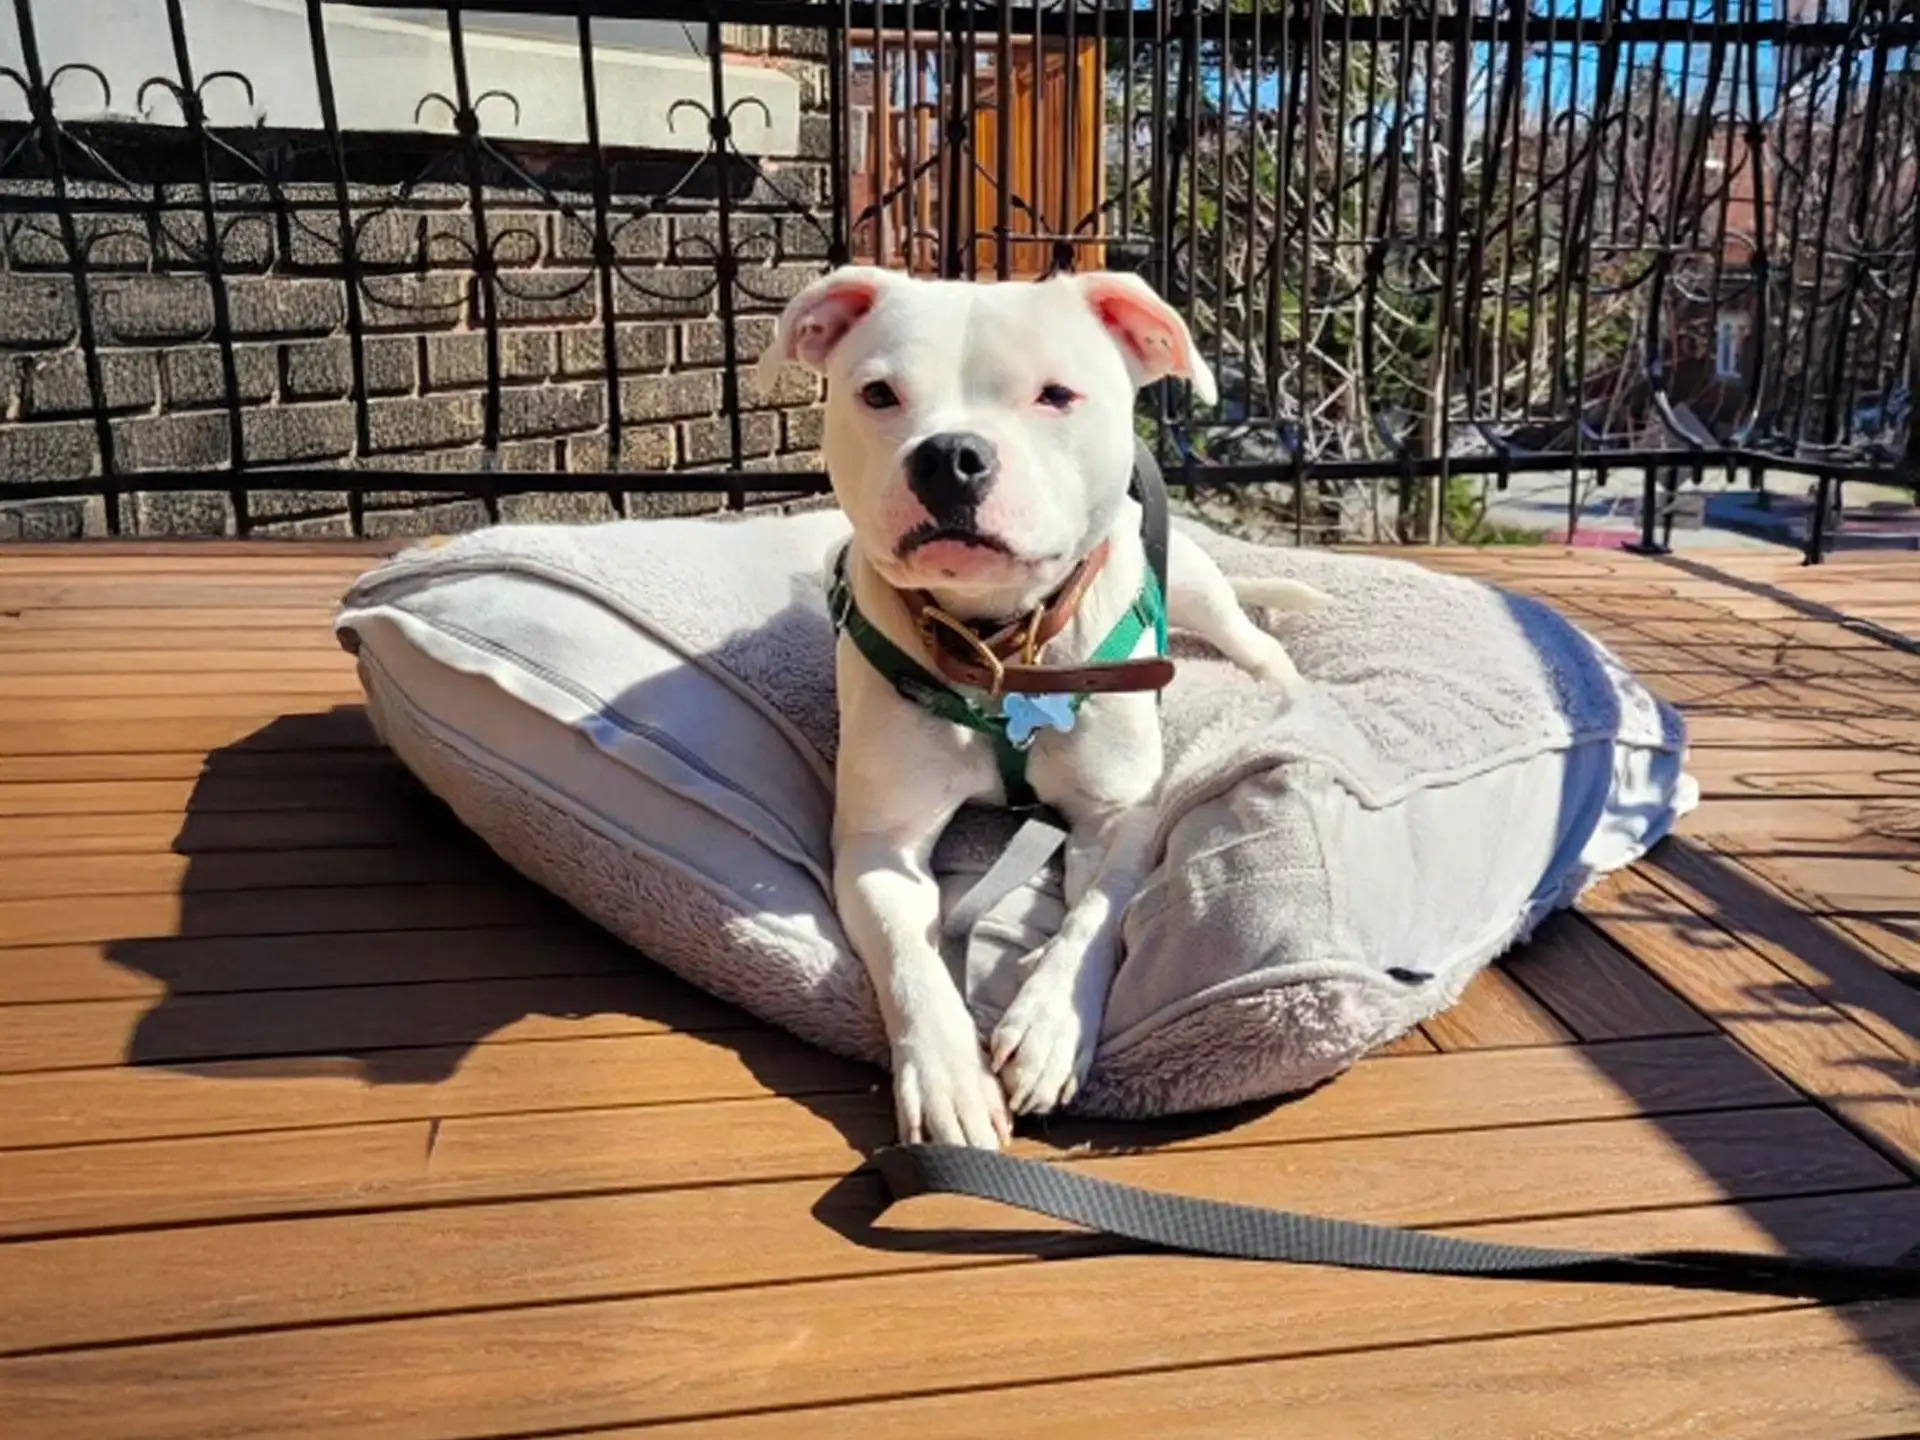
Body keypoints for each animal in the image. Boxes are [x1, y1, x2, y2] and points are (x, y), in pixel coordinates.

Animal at [760, 268, 1320, 1152]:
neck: (997, 644)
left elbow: (1093, 915)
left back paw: (1289, 690)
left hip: (1199, 587)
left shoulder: (1119, 819)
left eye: (1056, 394)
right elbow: (908, 957)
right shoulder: (879, 845)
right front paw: (950, 1078)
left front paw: (1051, 1025)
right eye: (879, 393)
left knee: (1255, 639)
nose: (950, 456)